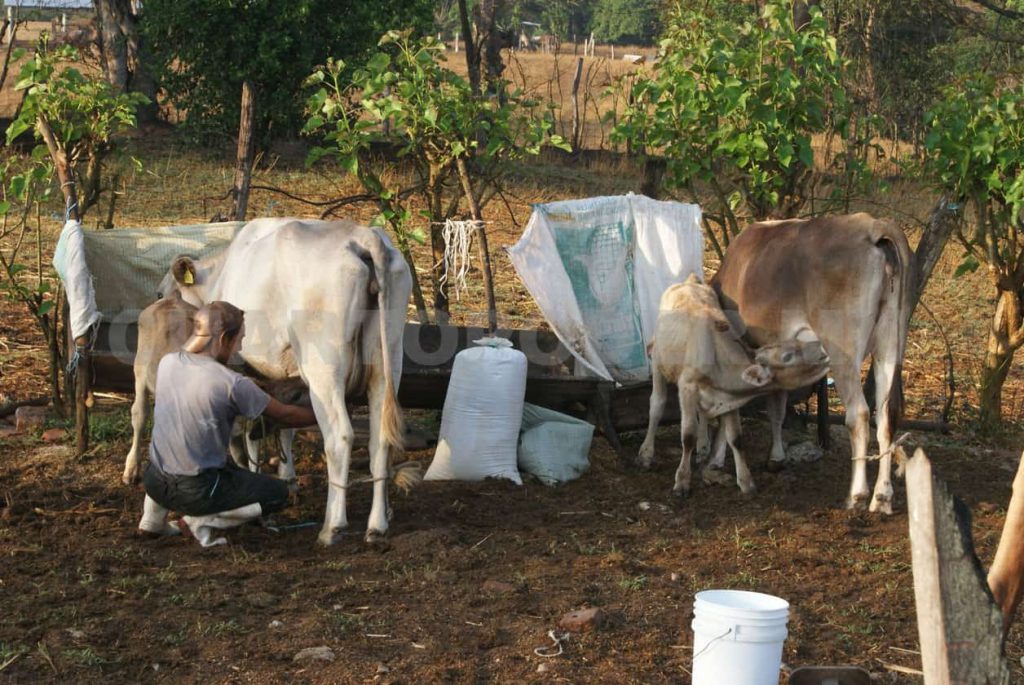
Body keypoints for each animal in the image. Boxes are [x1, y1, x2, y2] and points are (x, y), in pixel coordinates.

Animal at [159, 219, 411, 544]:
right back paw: (378, 524)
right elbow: (282, 427)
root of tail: (363, 235)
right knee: (380, 439)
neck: (222, 272)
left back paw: (332, 527)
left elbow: (250, 429)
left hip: (323, 369)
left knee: (340, 437)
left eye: (160, 292)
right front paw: (288, 479)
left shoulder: (241, 366)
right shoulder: (286, 378)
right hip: (387, 361)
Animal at [638, 274, 831, 497]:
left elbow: (736, 438)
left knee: (701, 413)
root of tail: (690, 281)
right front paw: (682, 482)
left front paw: (746, 482)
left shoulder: (728, 397)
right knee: (656, 405)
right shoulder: (687, 386)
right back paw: (645, 454)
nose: (821, 348)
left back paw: (703, 447)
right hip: (658, 361)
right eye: (788, 356)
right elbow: (687, 435)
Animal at [708, 213, 917, 511]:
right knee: (887, 415)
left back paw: (856, 495)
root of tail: (874, 226)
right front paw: (776, 456)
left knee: (859, 414)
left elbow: (733, 406)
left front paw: (715, 456)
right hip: (891, 343)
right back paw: (882, 496)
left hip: (843, 349)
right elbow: (777, 405)